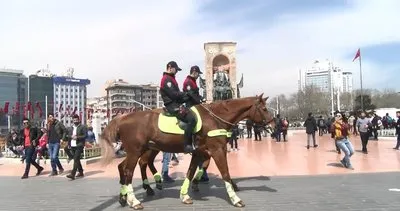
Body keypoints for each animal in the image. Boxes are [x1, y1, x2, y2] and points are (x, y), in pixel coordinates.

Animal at [100, 94, 276, 209]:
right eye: (264, 108)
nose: (273, 125)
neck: (215, 117)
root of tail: (122, 118)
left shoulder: (200, 152)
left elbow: (191, 172)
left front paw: (185, 195)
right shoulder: (217, 150)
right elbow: (225, 173)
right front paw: (235, 198)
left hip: (140, 151)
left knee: (126, 167)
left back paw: (125, 196)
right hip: (136, 151)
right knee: (130, 171)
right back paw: (135, 200)